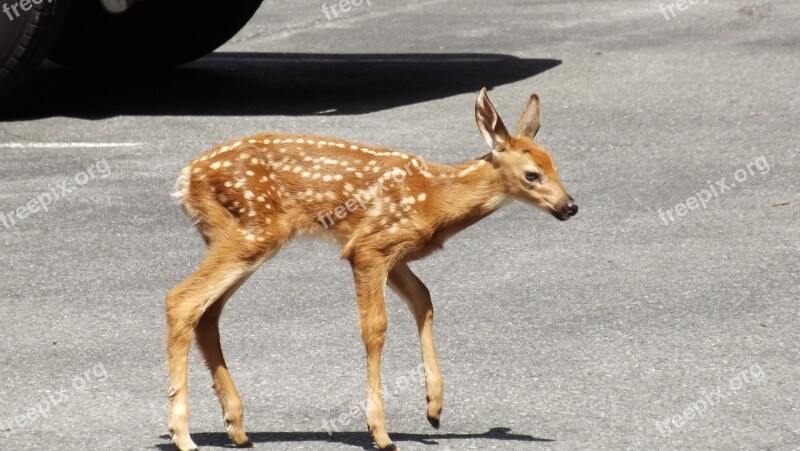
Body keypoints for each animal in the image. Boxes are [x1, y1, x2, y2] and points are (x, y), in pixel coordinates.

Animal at [167, 88, 580, 451]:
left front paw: (434, 406)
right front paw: (380, 433)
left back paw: (237, 429)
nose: (570, 206)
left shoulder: (394, 254)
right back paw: (183, 435)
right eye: (532, 174)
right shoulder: (369, 247)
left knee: (208, 313)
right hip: (251, 232)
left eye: (556, 167)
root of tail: (186, 178)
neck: (436, 199)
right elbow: (375, 328)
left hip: (236, 238)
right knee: (181, 300)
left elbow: (423, 300)